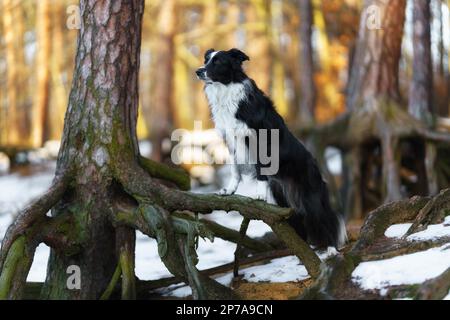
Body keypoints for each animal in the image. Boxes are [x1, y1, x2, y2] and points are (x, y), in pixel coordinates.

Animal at [195, 48, 346, 249]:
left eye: (218, 62)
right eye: (206, 60)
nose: (198, 71)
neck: (226, 90)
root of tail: (316, 168)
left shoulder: (260, 140)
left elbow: (260, 170)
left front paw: (259, 195)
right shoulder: (231, 143)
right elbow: (235, 170)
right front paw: (229, 191)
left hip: (310, 197)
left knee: (323, 222)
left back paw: (329, 250)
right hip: (284, 199)